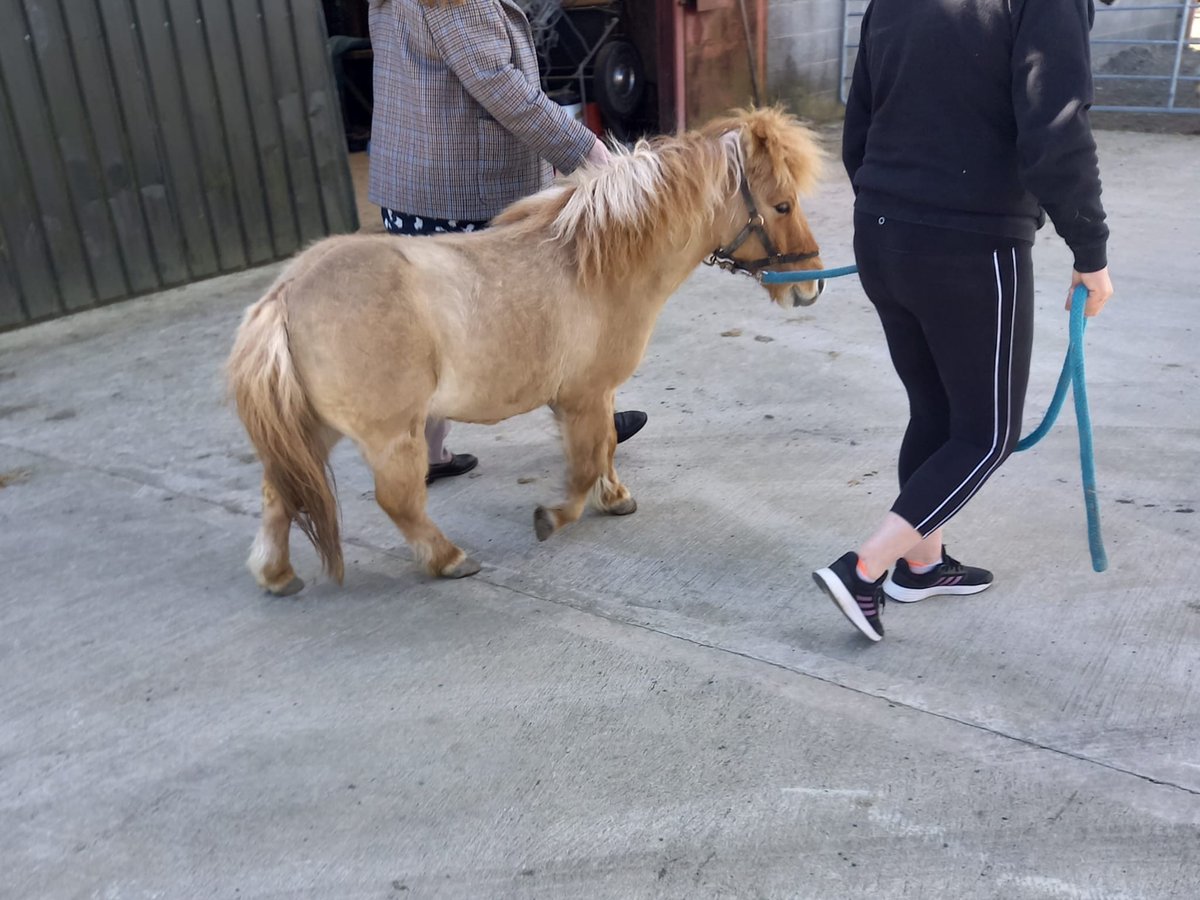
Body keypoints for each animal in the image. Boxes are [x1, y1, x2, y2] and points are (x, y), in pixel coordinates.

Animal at [226, 107, 826, 596]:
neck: (595, 262)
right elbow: (584, 466)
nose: (811, 285)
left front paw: (615, 497)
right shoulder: (584, 395)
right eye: (782, 204)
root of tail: (285, 294)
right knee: (396, 501)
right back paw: (448, 559)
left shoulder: (592, 396)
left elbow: (605, 449)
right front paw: (555, 517)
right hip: (390, 436)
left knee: (279, 493)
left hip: (315, 428)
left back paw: (275, 573)